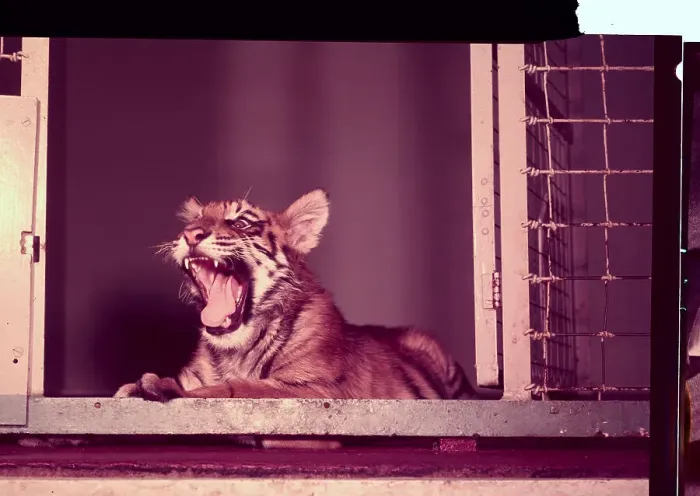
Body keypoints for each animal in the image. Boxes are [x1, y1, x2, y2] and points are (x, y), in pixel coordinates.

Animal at [115, 188, 476, 448]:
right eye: (193, 221)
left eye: (240, 223)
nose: (190, 234)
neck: (235, 349)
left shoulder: (315, 393)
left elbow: (236, 390)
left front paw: (156, 387)